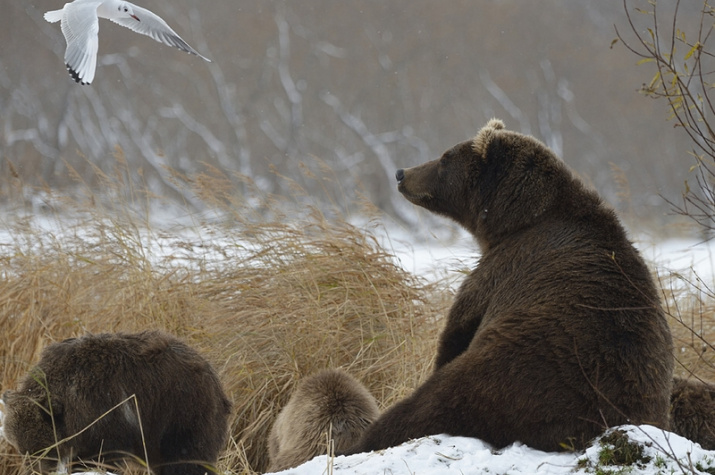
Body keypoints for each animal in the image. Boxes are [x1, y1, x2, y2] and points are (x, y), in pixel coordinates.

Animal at [1, 330, 231, 475]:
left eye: (42, 448)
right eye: (19, 447)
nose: (35, 469)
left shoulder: (107, 417)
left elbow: (101, 457)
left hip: (181, 414)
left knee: (186, 458)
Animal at [342, 119, 676, 454]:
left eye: (445, 158)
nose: (402, 173)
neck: (513, 218)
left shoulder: (502, 268)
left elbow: (458, 328)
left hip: (509, 373)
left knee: (430, 402)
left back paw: (364, 438)